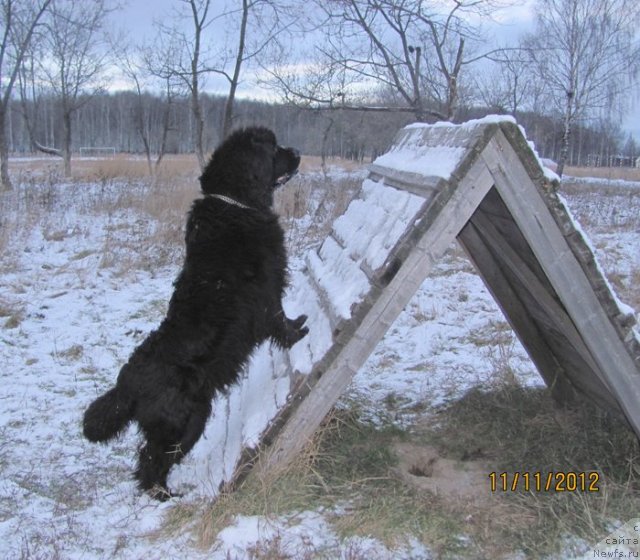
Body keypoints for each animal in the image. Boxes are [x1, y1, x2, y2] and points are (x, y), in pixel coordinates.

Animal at [84, 127, 308, 498]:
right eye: (274, 149)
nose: (298, 152)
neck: (235, 202)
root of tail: (126, 385)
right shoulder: (266, 291)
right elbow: (279, 320)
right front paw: (298, 331)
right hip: (186, 421)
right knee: (152, 460)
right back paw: (163, 496)